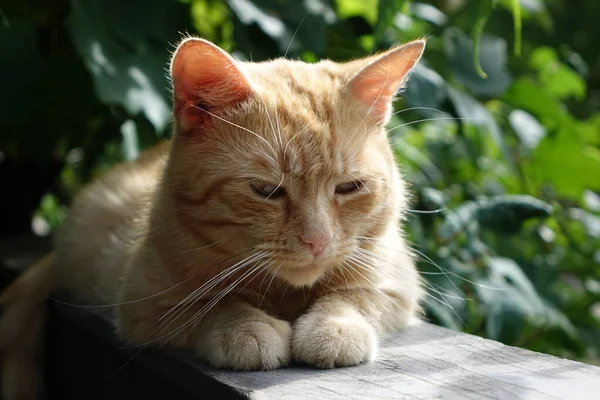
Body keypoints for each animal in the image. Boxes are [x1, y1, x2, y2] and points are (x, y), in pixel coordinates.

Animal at [0, 36, 422, 396]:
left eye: (349, 187)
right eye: (267, 191)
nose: (317, 242)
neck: (285, 293)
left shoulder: (395, 281)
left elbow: (354, 295)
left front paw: (334, 328)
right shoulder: (146, 303)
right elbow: (215, 303)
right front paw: (246, 328)